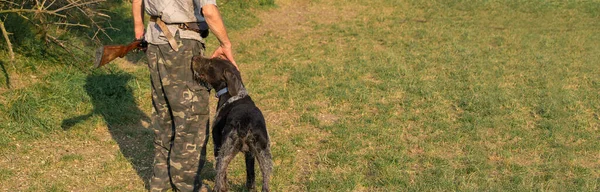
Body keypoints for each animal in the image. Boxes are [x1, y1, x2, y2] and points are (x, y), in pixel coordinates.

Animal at [192, 56, 272, 192]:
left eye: (210, 63)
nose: (194, 57)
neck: (236, 94)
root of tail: (245, 124)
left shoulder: (217, 144)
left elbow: (223, 177)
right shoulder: (250, 154)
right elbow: (250, 175)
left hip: (224, 152)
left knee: (219, 178)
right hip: (264, 154)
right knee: (265, 180)